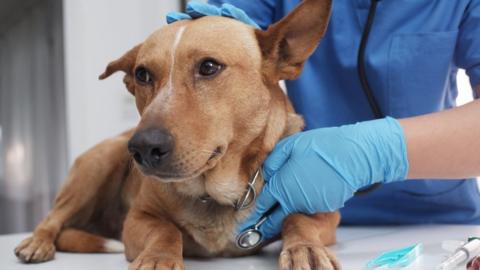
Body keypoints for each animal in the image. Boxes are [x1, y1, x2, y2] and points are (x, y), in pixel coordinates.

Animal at [14, 1, 338, 268]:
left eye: (209, 66)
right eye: (142, 74)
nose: (143, 148)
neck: (213, 192)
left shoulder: (327, 215)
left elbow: (298, 219)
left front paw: (305, 248)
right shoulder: (137, 220)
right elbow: (166, 230)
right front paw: (158, 257)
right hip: (100, 162)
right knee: (52, 218)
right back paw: (37, 242)